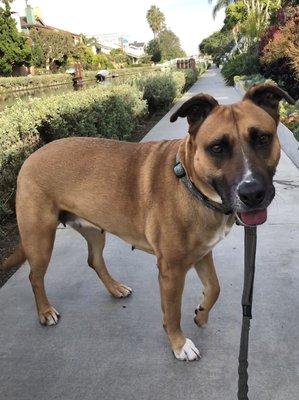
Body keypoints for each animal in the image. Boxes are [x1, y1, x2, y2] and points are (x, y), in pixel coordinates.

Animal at [2, 83, 296, 360]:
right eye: (216, 148)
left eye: (262, 138)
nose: (253, 193)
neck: (190, 183)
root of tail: (30, 157)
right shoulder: (171, 270)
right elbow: (172, 313)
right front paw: (179, 344)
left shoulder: (202, 252)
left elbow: (214, 287)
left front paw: (201, 314)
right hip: (40, 239)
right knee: (35, 276)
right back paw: (45, 311)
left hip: (94, 230)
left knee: (94, 260)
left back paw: (115, 288)